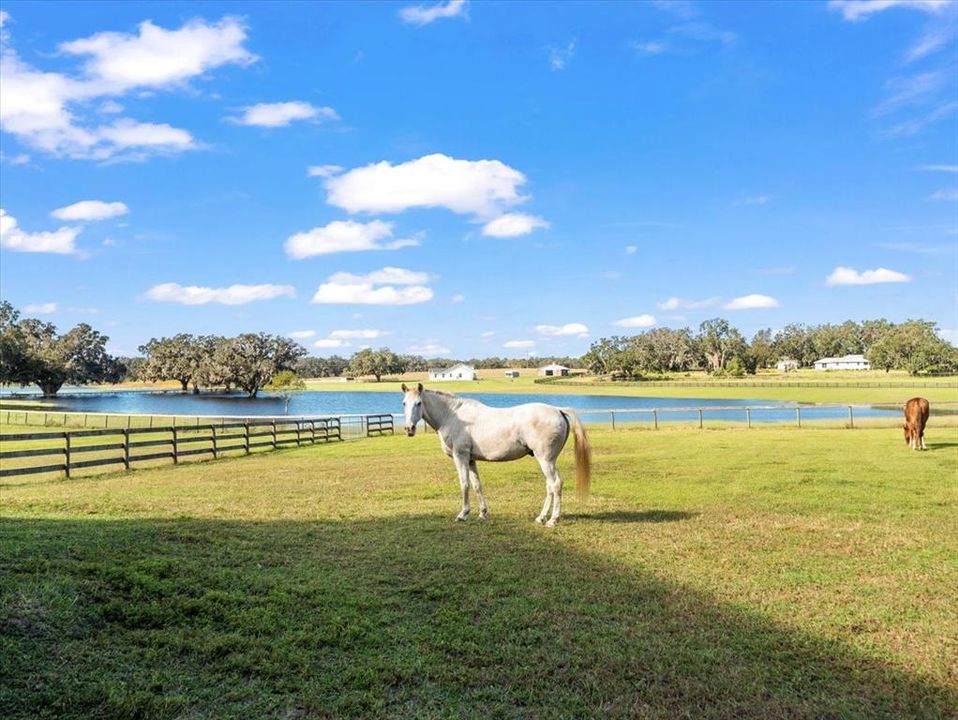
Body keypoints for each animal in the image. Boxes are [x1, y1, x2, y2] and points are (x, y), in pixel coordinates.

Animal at [400, 386, 592, 524]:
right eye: (404, 403)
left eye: (418, 403)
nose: (409, 428)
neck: (453, 416)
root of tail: (558, 410)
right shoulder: (470, 459)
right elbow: (477, 485)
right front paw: (482, 513)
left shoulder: (460, 456)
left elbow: (464, 484)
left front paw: (463, 514)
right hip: (548, 460)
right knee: (550, 486)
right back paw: (541, 517)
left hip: (545, 460)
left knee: (556, 484)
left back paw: (553, 519)